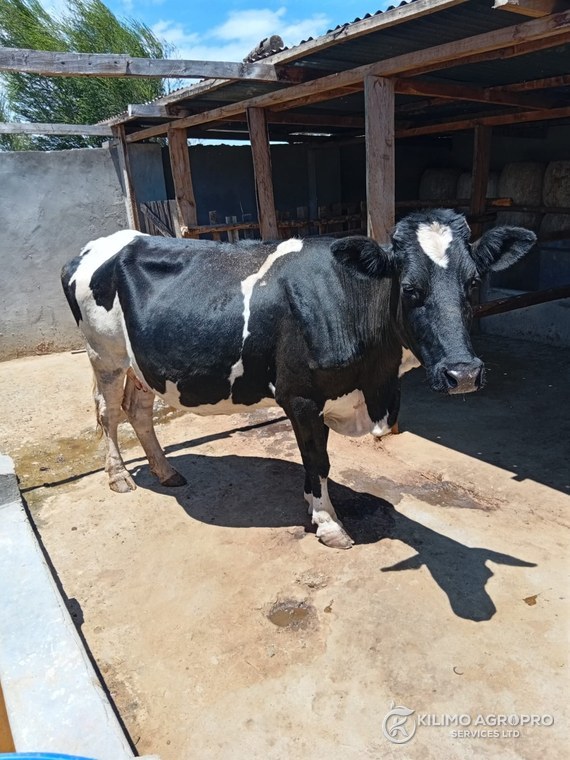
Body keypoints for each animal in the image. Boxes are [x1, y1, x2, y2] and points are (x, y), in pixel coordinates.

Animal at [61, 209, 536, 549]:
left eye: (472, 283)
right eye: (410, 288)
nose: (463, 373)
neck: (375, 386)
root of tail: (101, 243)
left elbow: (316, 462)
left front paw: (313, 504)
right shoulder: (302, 397)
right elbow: (318, 460)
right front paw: (329, 524)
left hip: (141, 365)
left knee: (138, 410)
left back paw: (165, 471)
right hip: (104, 355)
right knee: (108, 412)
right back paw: (119, 477)